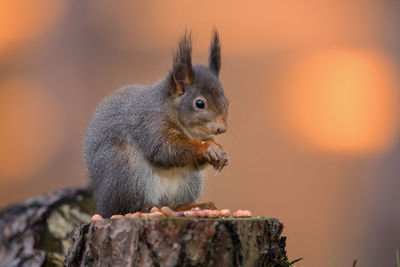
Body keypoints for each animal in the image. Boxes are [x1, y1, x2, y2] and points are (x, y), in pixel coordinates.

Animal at [83, 29, 228, 218]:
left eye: (226, 101)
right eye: (199, 103)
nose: (221, 128)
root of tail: (101, 206)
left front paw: (218, 149)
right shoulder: (150, 123)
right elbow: (165, 150)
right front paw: (207, 148)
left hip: (189, 183)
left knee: (173, 205)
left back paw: (191, 207)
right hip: (125, 169)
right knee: (125, 208)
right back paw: (148, 209)